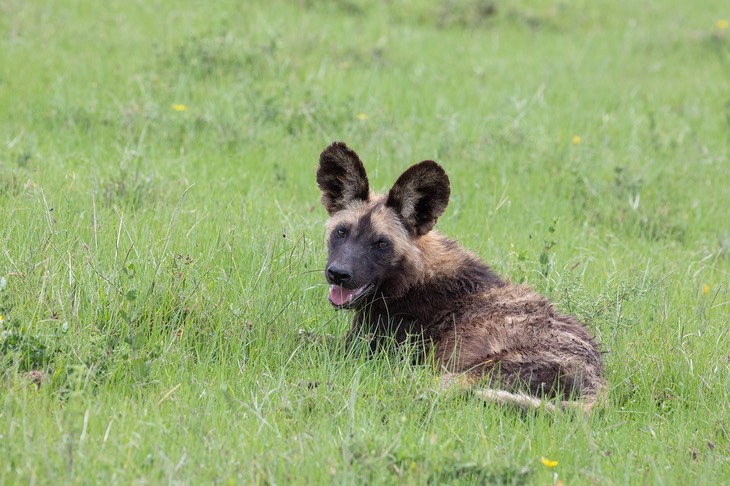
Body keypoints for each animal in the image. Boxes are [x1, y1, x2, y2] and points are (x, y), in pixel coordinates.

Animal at [316, 142, 604, 412]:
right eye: (341, 232)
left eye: (381, 244)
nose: (339, 273)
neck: (415, 277)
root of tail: (596, 386)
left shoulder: (365, 348)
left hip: (457, 375)